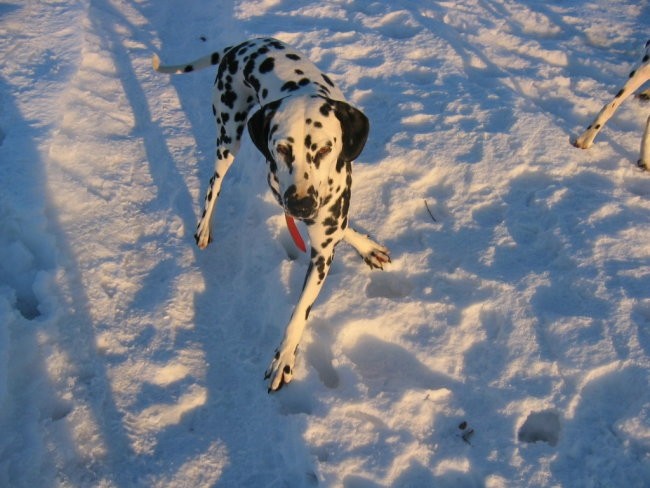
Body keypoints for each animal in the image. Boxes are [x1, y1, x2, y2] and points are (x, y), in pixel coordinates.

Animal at [152, 38, 388, 392]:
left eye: (325, 148)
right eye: (283, 148)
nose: (301, 207)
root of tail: (239, 46)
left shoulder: (322, 238)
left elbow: (302, 305)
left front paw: (365, 245)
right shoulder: (278, 185)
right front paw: (283, 359)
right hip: (229, 136)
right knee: (214, 183)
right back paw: (205, 225)